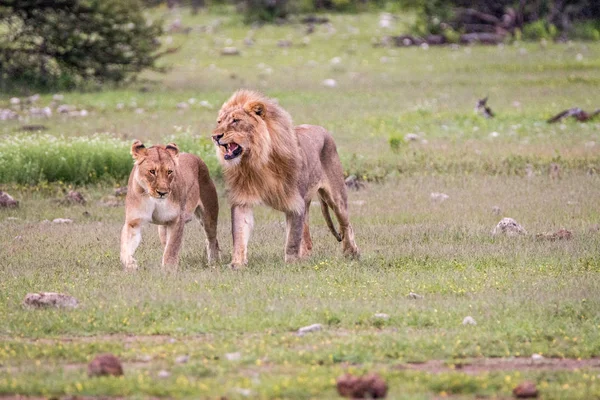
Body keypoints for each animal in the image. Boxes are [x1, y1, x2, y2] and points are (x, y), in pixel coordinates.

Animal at [119, 139, 220, 270]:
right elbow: (125, 246)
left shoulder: (176, 220)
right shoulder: (133, 222)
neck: (153, 199)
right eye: (152, 171)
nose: (162, 192)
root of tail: (197, 157)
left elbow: (171, 248)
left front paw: (168, 270)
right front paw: (130, 264)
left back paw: (214, 262)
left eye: (169, 172)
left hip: (208, 216)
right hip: (162, 229)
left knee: (212, 239)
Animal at [213, 89, 358, 268]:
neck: (257, 160)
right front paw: (237, 264)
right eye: (219, 121)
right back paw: (306, 256)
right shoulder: (242, 199)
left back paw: (351, 252)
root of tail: (321, 129)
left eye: (236, 121)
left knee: (346, 224)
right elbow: (239, 233)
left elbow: (292, 240)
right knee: (307, 235)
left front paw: (291, 263)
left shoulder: (295, 203)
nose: (215, 136)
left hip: (336, 197)